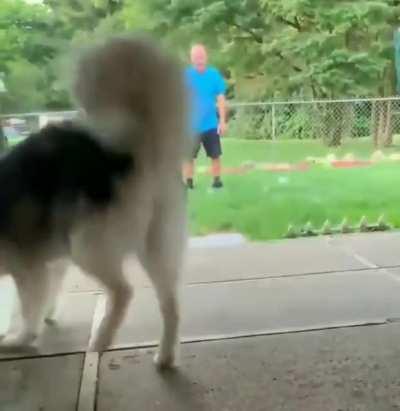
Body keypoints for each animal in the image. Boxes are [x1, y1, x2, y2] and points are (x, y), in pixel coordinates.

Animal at [0, 36, 188, 370]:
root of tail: (130, 152)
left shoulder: (28, 265)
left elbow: (28, 307)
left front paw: (19, 338)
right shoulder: (50, 261)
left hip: (86, 243)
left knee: (124, 291)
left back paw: (102, 337)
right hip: (155, 247)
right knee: (170, 304)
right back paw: (165, 355)